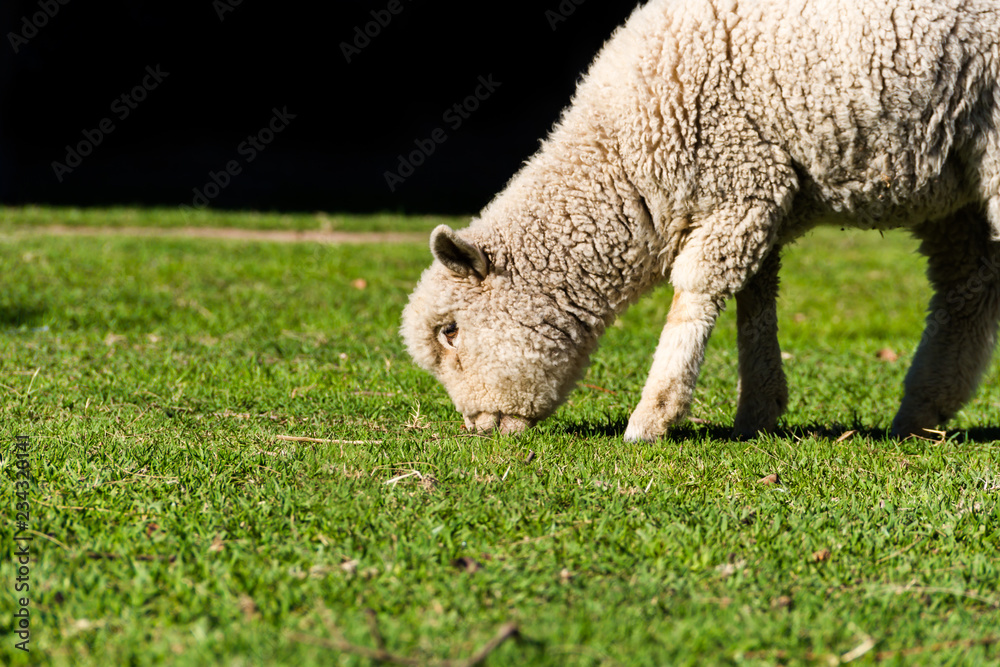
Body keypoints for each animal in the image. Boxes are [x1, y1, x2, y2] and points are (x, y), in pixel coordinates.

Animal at [401, 0, 1000, 441]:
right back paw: (922, 410)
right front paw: (758, 410)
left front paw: (652, 417)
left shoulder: (740, 184)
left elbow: (696, 292)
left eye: (451, 331)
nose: (479, 426)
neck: (623, 164)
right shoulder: (759, 195)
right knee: (967, 290)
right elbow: (756, 302)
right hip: (954, 187)